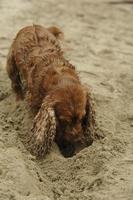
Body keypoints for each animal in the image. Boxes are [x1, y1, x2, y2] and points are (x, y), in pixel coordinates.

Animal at [6, 24, 95, 158]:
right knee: (15, 84)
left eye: (82, 117)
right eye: (63, 121)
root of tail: (32, 25)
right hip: (11, 65)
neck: (60, 77)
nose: (77, 140)